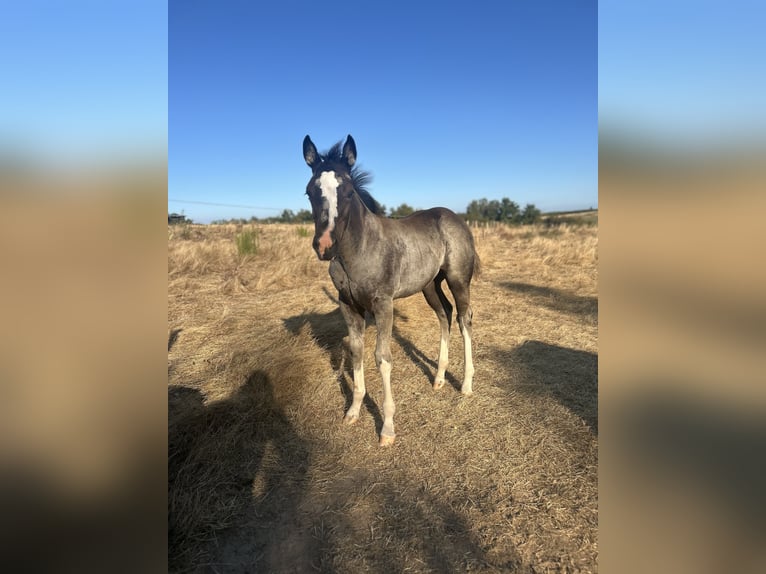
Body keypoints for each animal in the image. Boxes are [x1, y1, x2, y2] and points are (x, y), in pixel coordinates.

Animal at [302, 134, 478, 446]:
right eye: (310, 191)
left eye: (348, 191)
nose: (324, 246)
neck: (358, 250)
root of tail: (455, 217)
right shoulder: (349, 305)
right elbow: (356, 351)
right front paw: (353, 410)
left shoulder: (383, 304)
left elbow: (382, 359)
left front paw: (387, 428)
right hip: (430, 285)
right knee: (444, 314)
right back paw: (439, 378)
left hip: (458, 279)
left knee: (463, 319)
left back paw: (466, 384)